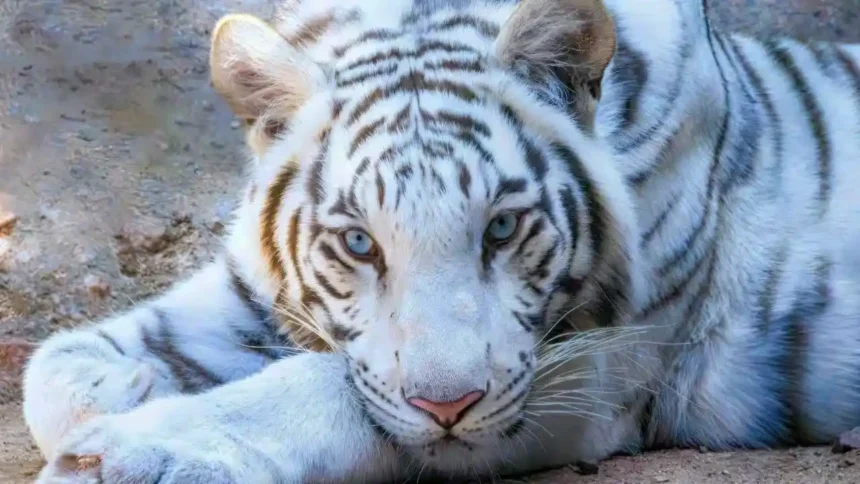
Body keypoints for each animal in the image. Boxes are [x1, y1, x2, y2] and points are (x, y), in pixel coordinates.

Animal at [24, 0, 860, 482]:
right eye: (359, 244)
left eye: (501, 227)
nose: (449, 406)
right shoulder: (251, 287)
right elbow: (54, 367)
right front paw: (132, 390)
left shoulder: (597, 369)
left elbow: (336, 388)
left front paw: (128, 455)